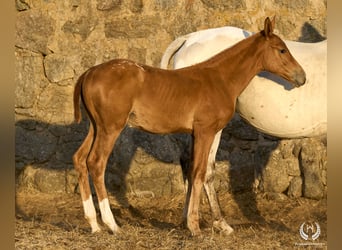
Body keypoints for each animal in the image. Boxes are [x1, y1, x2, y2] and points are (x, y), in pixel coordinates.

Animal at [73, 17, 306, 236]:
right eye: (282, 49)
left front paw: (190, 222)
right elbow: (199, 171)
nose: (302, 77)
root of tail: (89, 72)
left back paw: (94, 224)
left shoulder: (196, 134)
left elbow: (193, 169)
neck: (219, 79)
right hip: (111, 127)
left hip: (96, 127)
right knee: (96, 163)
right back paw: (112, 224)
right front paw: (195, 227)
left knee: (80, 158)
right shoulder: (205, 131)